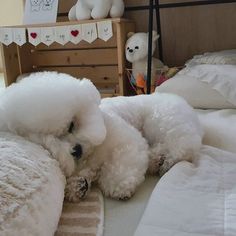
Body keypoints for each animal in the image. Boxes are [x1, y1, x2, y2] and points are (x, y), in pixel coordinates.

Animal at [0, 71, 203, 201]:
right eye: (48, 139)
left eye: (71, 124)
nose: (76, 150)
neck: (91, 153)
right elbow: (85, 174)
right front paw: (77, 186)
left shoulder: (127, 142)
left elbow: (122, 165)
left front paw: (119, 186)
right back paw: (157, 159)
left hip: (162, 121)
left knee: (185, 146)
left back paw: (168, 161)